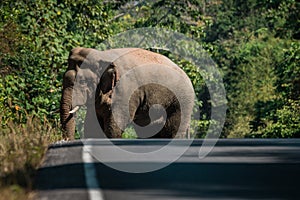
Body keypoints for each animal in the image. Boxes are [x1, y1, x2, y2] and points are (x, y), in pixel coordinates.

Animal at [60, 47, 195, 140]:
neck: (102, 54)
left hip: (181, 102)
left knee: (172, 131)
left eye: (82, 81)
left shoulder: (125, 90)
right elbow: (92, 124)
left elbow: (115, 126)